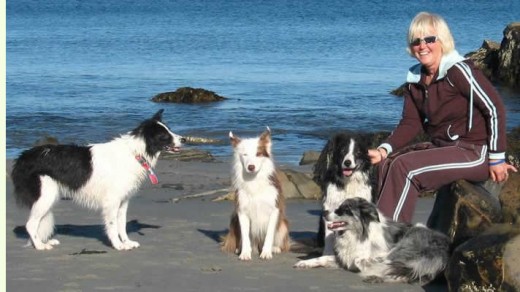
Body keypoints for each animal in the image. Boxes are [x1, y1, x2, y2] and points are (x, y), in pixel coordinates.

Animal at [10, 109, 185, 251]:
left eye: (170, 130)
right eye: (164, 135)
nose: (184, 139)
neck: (135, 152)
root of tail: (23, 157)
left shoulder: (123, 201)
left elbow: (122, 225)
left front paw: (127, 242)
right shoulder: (112, 201)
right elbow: (113, 226)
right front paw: (118, 245)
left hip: (48, 197)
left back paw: (42, 242)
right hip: (46, 195)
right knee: (30, 224)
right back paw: (40, 246)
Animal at [220, 128, 290, 260]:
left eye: (258, 154)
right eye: (245, 154)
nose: (251, 167)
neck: (254, 181)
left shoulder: (274, 209)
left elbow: (269, 234)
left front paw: (266, 252)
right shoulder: (242, 210)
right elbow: (245, 236)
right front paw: (245, 253)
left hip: (283, 224)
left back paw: (275, 248)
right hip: (234, 220)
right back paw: (241, 249)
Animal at [292, 132, 374, 266]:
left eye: (357, 152)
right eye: (342, 151)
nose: (347, 162)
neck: (347, 182)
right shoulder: (330, 209)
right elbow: (329, 238)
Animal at [294, 197, 448, 284]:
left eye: (345, 209)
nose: (324, 212)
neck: (358, 234)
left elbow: (363, 260)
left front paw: (372, 263)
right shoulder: (345, 258)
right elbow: (323, 258)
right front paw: (305, 262)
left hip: (409, 241)